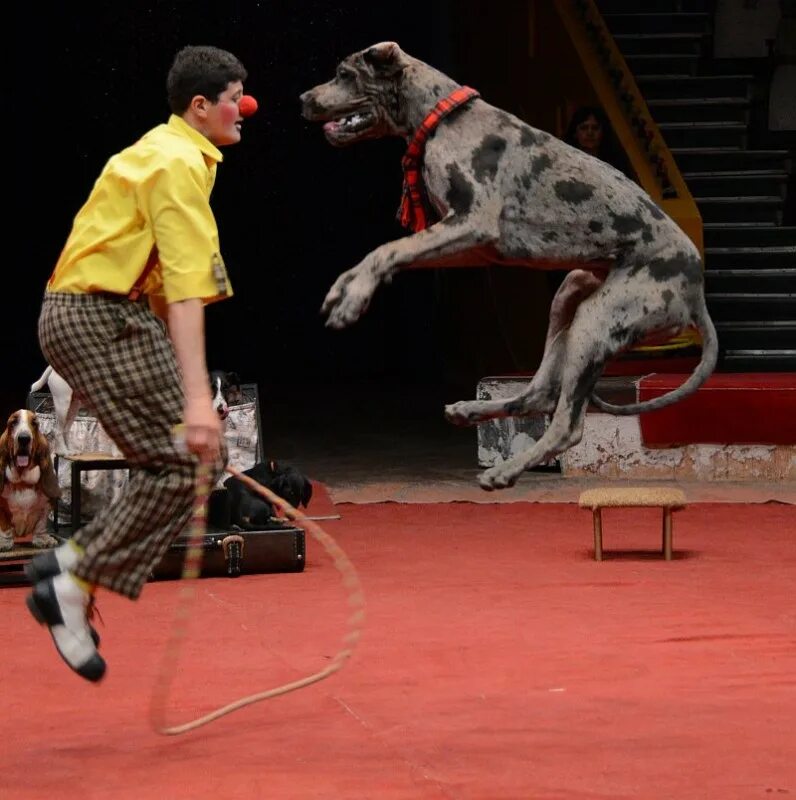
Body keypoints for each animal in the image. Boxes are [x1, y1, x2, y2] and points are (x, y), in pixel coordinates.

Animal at [300, 45, 720, 494]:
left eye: (344, 74)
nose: (303, 99)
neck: (443, 117)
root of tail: (696, 293)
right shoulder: (471, 244)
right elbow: (386, 250)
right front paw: (348, 286)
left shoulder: (472, 223)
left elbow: (389, 249)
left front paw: (353, 299)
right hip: (570, 295)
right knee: (538, 394)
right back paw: (471, 412)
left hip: (596, 321)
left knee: (567, 425)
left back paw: (505, 471)